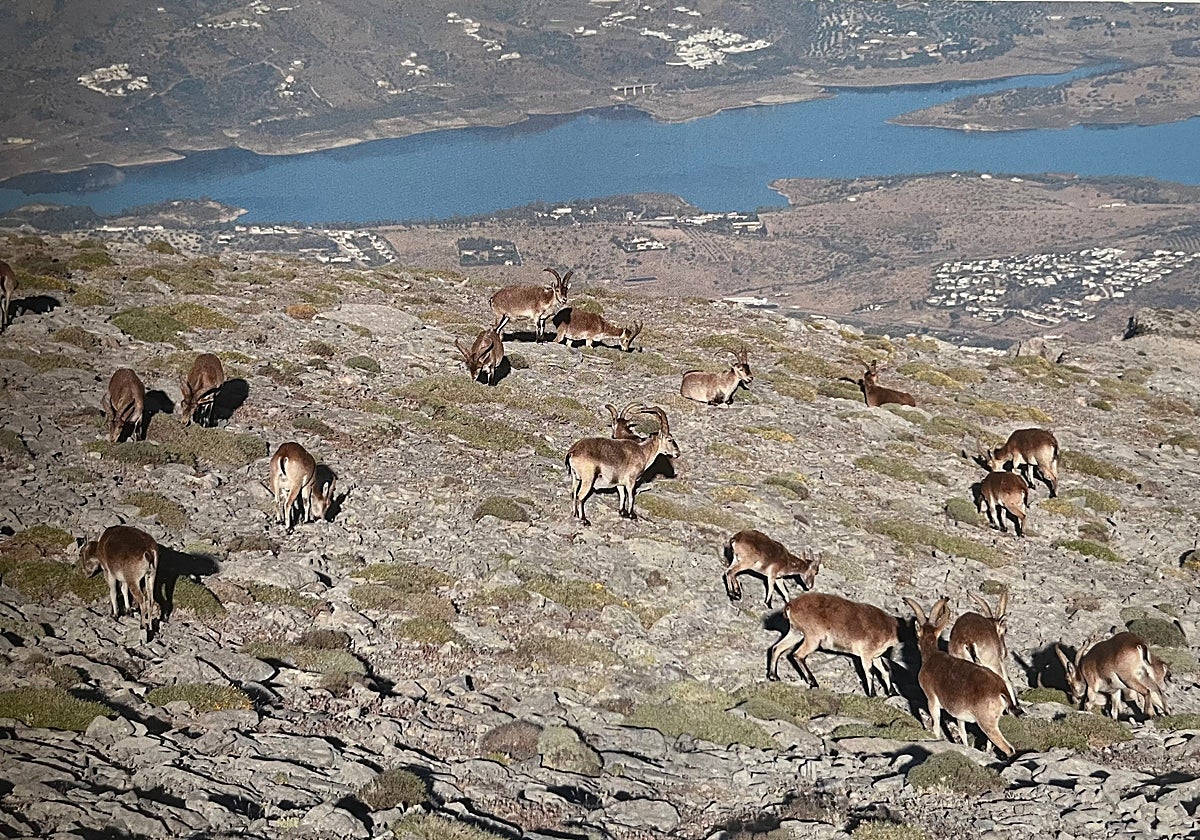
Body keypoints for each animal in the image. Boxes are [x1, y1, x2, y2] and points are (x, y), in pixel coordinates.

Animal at [768, 592, 900, 696]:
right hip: (813, 637)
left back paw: (774, 676)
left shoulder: (876, 656)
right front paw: (873, 694)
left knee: (777, 648)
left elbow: (885, 671)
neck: (891, 628)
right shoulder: (866, 653)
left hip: (796, 632)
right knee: (798, 655)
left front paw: (893, 693)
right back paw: (813, 682)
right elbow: (869, 672)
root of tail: (791, 605)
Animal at [906, 597, 1017, 758]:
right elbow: (962, 732)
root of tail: (1000, 690)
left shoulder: (932, 699)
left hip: (987, 723)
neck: (932, 656)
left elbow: (936, 726)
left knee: (1008, 748)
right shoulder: (959, 714)